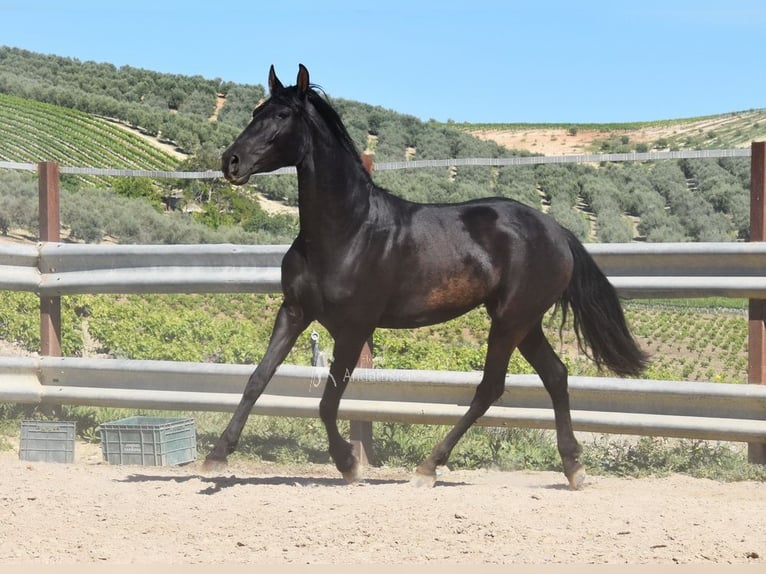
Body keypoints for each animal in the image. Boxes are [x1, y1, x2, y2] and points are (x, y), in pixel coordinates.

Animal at [206, 64, 648, 490]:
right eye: (256, 112)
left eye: (281, 116)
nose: (231, 162)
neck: (346, 231)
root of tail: (557, 231)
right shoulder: (294, 312)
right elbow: (257, 379)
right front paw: (216, 456)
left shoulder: (353, 326)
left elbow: (328, 401)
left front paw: (348, 464)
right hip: (525, 323)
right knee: (555, 375)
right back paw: (574, 468)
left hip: (510, 321)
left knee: (491, 387)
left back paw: (428, 468)